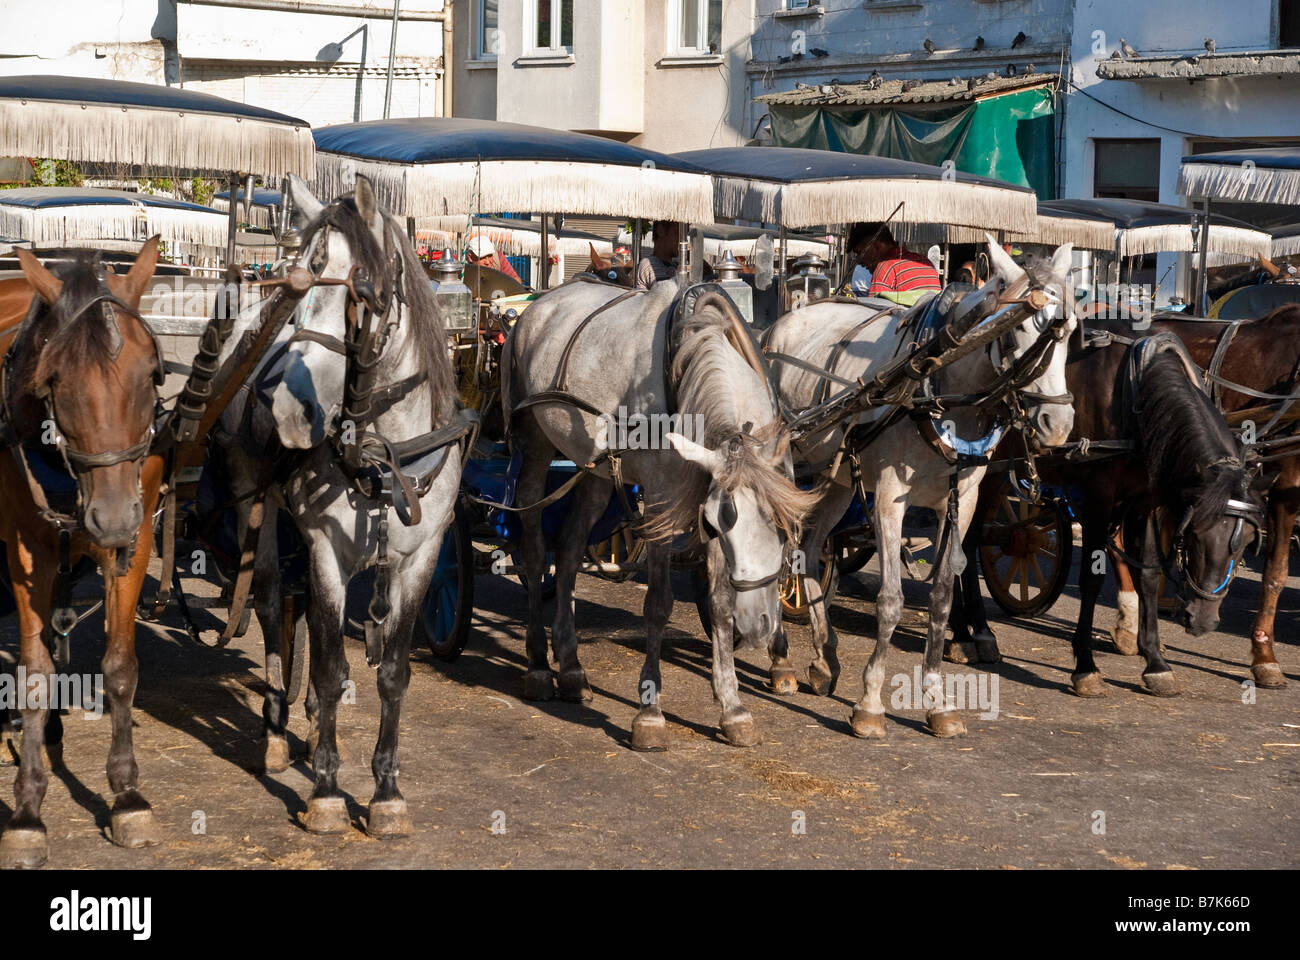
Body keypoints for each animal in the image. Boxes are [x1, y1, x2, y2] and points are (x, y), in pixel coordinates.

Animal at [0, 240, 165, 869]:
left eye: (149, 375)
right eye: (55, 380)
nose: (112, 516)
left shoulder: (134, 545)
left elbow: (120, 667)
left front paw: (127, 795)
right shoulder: (26, 552)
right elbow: (34, 674)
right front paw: (27, 808)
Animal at [221, 174, 468, 836]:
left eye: (360, 289)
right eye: (292, 284)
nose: (285, 407)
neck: (385, 450)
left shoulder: (420, 559)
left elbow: (392, 673)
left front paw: (386, 792)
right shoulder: (326, 551)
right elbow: (332, 668)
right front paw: (328, 792)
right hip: (260, 509)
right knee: (272, 602)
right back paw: (277, 731)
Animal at [504, 278, 815, 749]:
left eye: (783, 529)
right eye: (715, 524)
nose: (760, 625)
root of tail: (540, 303)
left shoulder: (702, 490)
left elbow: (719, 602)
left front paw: (733, 707)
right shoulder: (661, 499)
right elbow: (658, 604)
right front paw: (649, 712)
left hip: (595, 469)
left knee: (571, 548)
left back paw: (572, 668)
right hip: (536, 445)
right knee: (536, 549)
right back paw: (540, 665)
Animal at [762, 239, 1077, 738]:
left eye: (1072, 332)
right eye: (1020, 326)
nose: (1057, 423)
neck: (939, 383)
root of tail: (780, 325)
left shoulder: (962, 501)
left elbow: (943, 596)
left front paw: (937, 699)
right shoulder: (891, 499)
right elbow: (890, 600)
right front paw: (870, 702)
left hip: (838, 480)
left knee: (808, 550)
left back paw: (824, 657)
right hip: (785, 466)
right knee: (780, 551)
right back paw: (779, 661)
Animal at [950, 334, 1268, 697]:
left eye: (1246, 543)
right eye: (1195, 536)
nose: (1202, 620)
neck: (1134, 394)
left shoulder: (1144, 501)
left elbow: (1147, 576)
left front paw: (1156, 662)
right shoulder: (1098, 496)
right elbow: (1091, 579)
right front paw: (1085, 666)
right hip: (983, 473)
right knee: (965, 541)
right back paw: (971, 634)